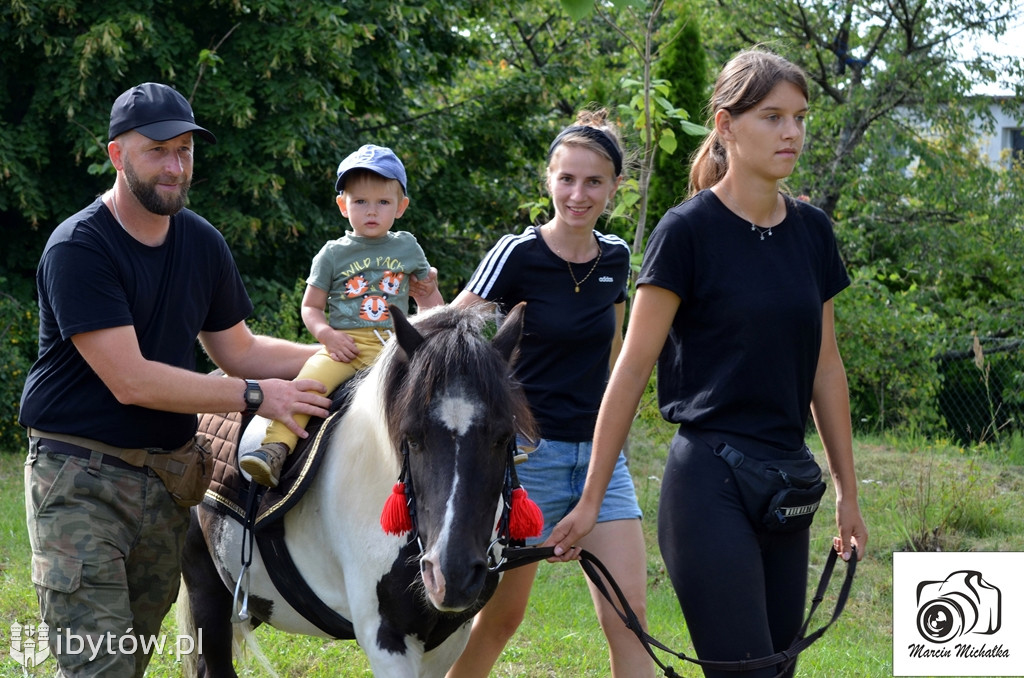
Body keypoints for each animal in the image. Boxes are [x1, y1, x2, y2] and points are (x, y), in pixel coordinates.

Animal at [178, 305, 536, 675]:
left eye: (503, 437)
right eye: (412, 438)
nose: (452, 574)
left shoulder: (449, 639)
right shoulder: (386, 640)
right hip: (207, 589)